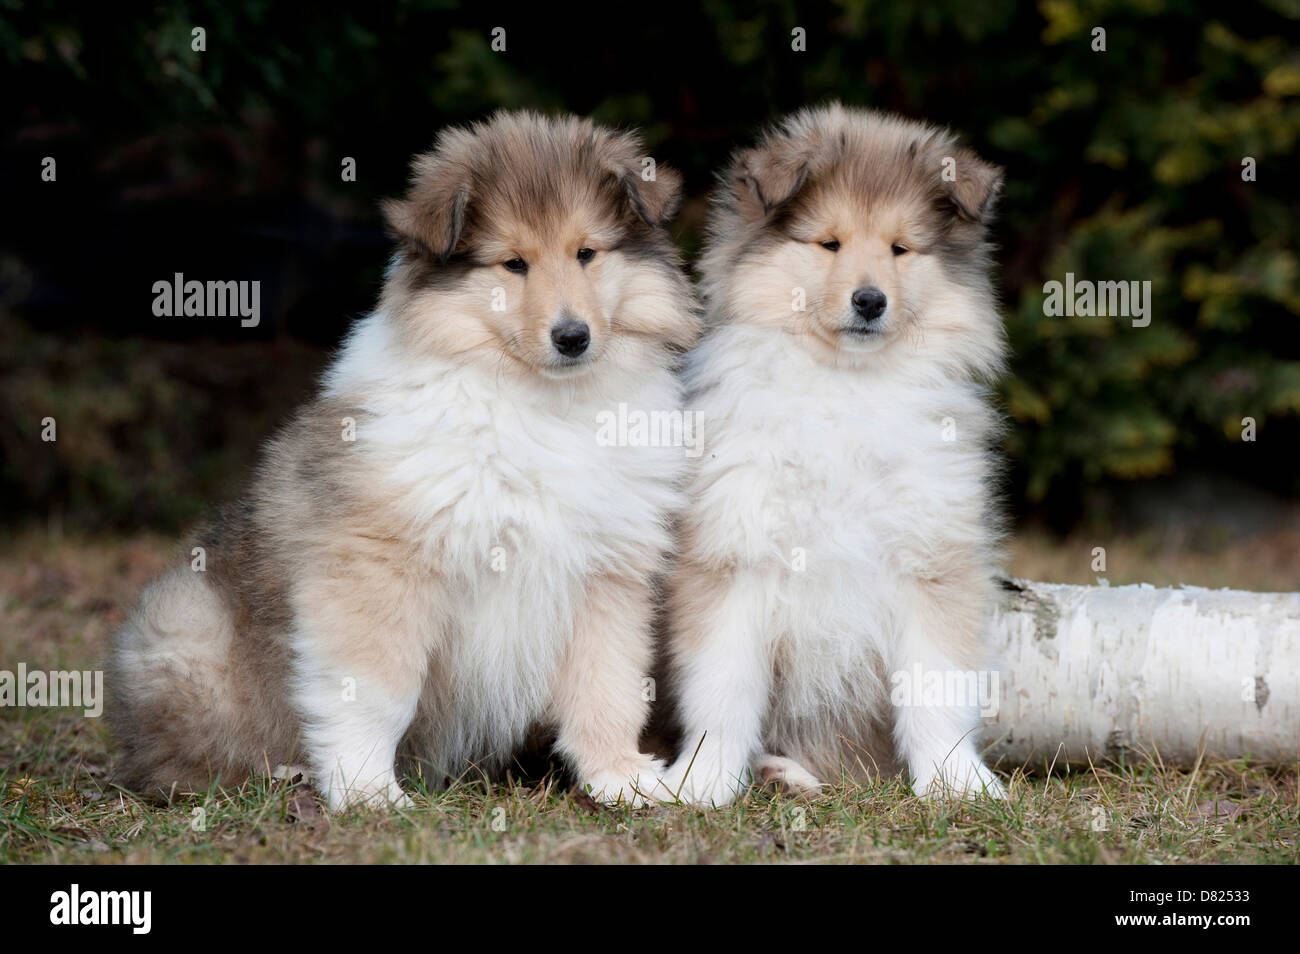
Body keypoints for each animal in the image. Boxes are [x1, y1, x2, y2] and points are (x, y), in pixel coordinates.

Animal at [111, 113, 702, 816]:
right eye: (513, 263)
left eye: (587, 253)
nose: (572, 338)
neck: (538, 400)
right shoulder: (378, 567)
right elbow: (375, 693)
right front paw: (368, 792)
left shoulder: (606, 574)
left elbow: (606, 688)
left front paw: (622, 781)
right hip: (185, 625)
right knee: (182, 760)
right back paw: (279, 775)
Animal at [660, 102, 1003, 805]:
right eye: (829, 243)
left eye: (901, 248)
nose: (869, 301)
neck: (846, 386)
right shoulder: (733, 554)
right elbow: (722, 689)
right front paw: (702, 783)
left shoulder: (932, 559)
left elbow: (936, 687)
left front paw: (956, 782)